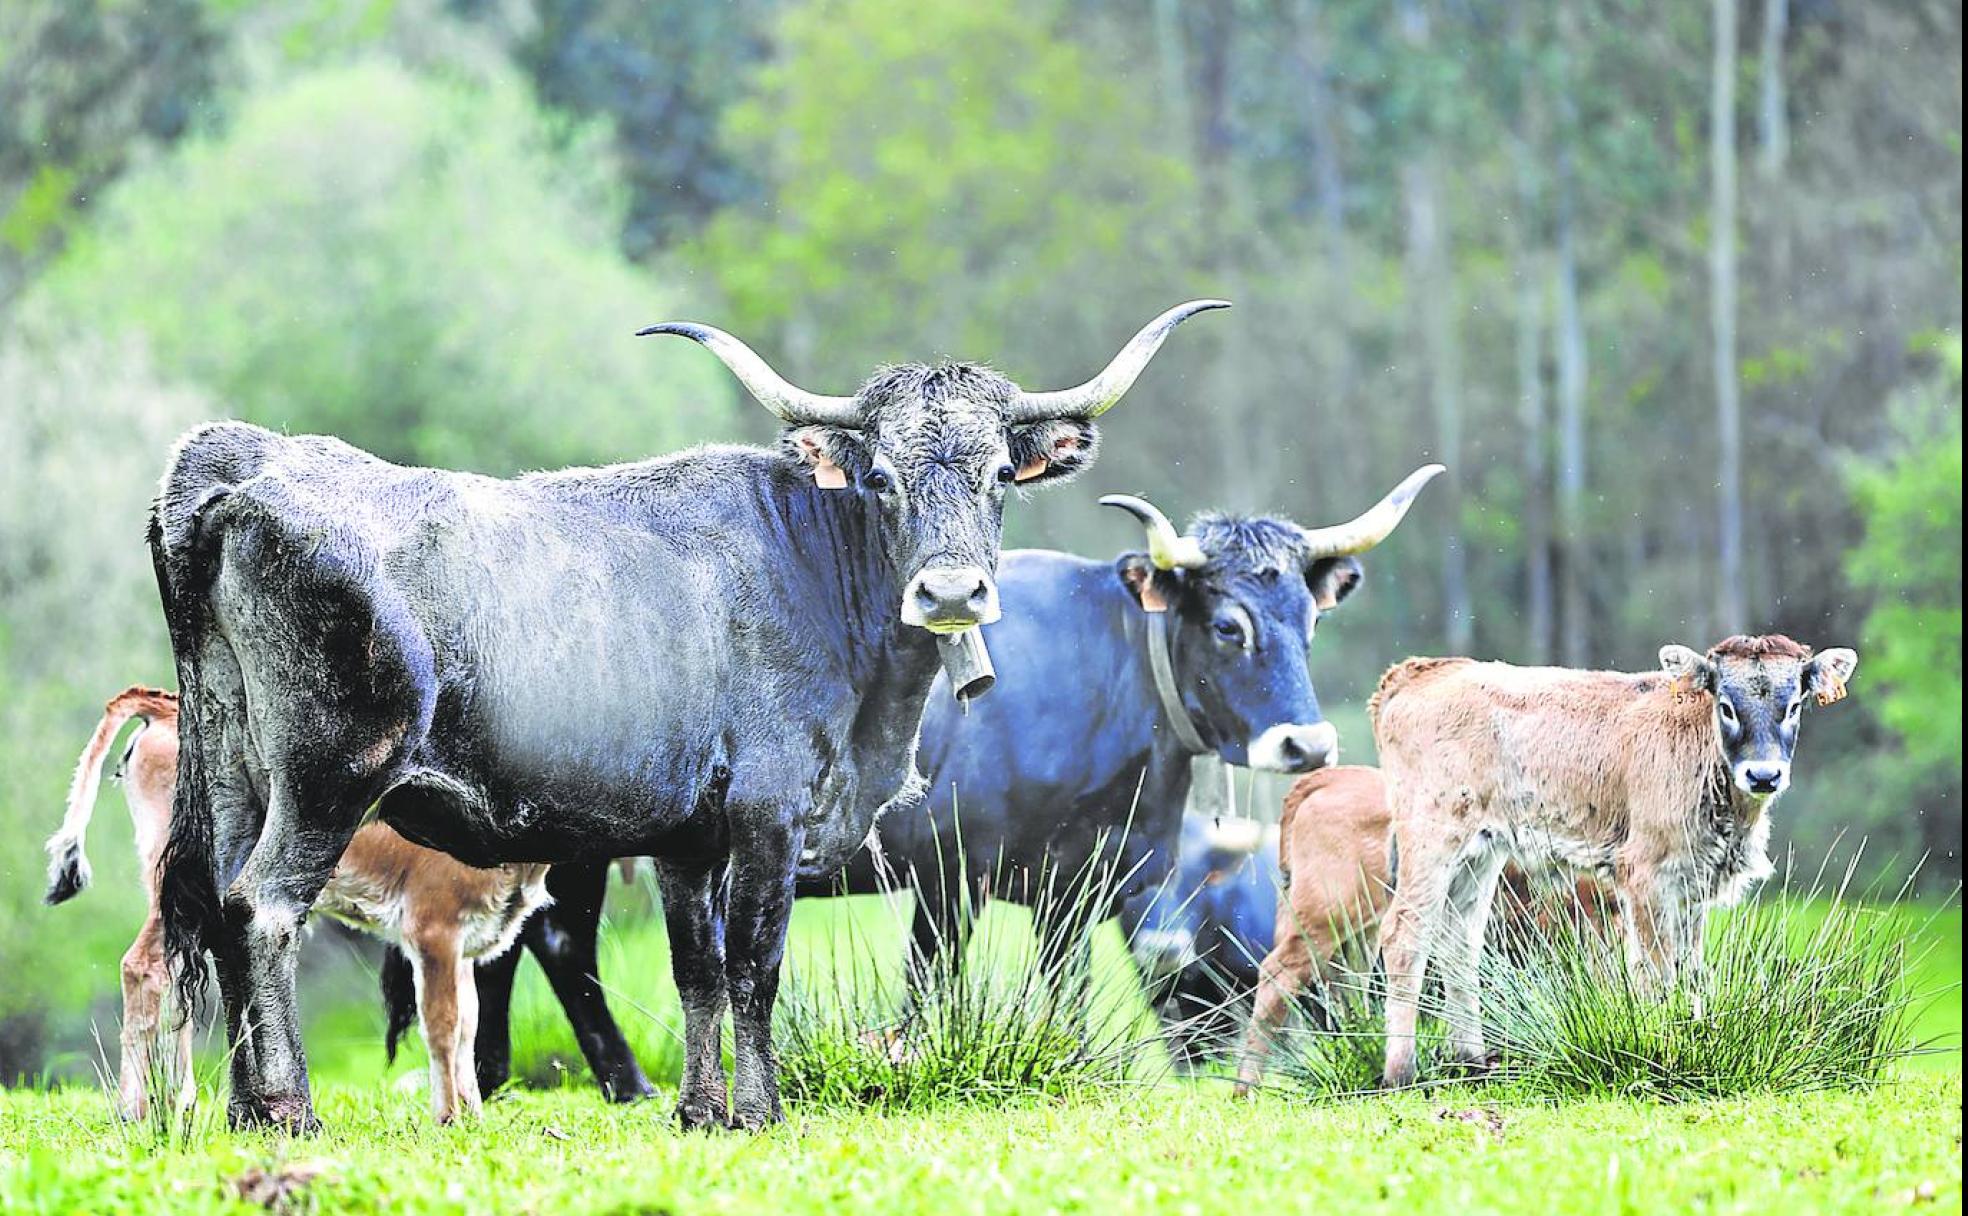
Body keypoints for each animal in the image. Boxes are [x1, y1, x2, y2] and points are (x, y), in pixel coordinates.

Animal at [42, 684, 551, 1125]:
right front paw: (451, 1119)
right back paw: (144, 1106)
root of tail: (165, 705)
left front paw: (473, 1115)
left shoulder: (466, 940)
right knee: (146, 966)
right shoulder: (433, 926)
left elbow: (469, 1024)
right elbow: (445, 1024)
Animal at [153, 299, 1220, 1133]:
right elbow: (753, 962)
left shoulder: (684, 838)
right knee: (263, 909)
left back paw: (247, 1108)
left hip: (239, 774)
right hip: (329, 779)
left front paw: (702, 1109)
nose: (952, 593)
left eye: (999, 473)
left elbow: (696, 967)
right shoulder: (766, 815)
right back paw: (290, 1107)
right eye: (881, 477)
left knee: (213, 902)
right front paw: (759, 1108)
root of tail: (246, 461)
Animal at [1369, 629, 1857, 1086]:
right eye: (1726, 706)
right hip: (1431, 835)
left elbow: (1690, 969)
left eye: (1793, 706)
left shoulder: (1694, 882)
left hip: (1481, 851)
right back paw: (1400, 1073)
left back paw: (1470, 1061)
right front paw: (1663, 1048)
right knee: (1404, 935)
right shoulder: (1643, 876)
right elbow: (1656, 972)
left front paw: (1694, 1038)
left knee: (1459, 941)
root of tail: (1421, 670)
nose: (1763, 775)